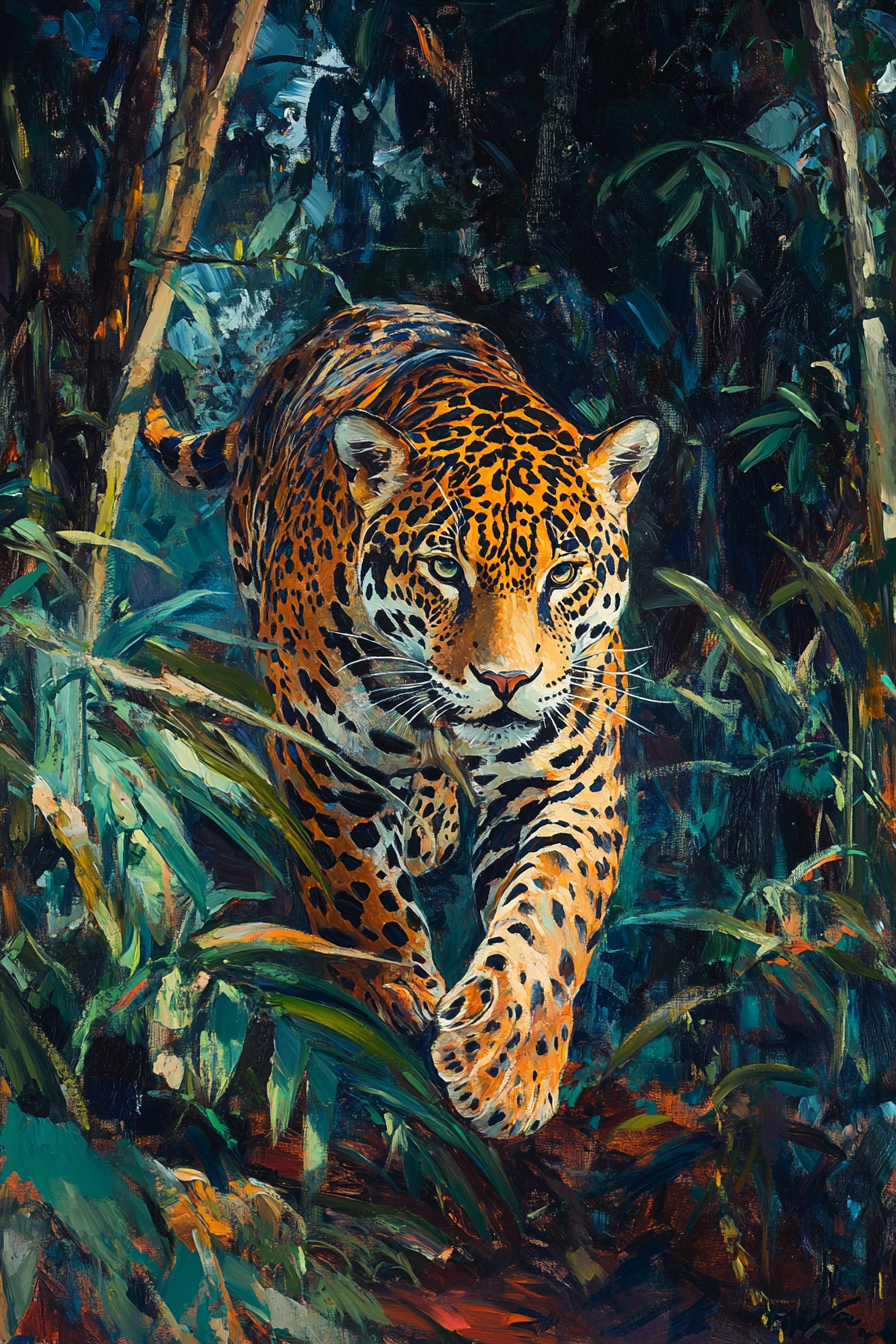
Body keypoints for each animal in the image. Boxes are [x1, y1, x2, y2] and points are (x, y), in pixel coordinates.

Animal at [143, 303, 658, 1139]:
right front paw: (389, 990)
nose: (506, 681)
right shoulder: (320, 756)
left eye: (563, 575)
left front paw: (507, 1065)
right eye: (445, 569)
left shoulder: (571, 785)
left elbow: (551, 909)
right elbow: (351, 876)